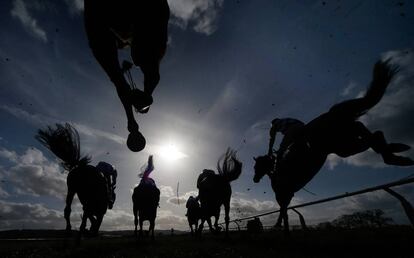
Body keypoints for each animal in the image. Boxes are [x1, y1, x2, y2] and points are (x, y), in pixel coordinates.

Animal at [254, 60, 412, 236]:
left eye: (257, 166)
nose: (254, 179)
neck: (277, 171)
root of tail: (330, 114)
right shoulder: (287, 194)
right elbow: (284, 212)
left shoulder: (283, 193)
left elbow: (283, 212)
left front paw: (279, 226)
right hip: (345, 139)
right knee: (370, 132)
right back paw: (396, 152)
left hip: (340, 145)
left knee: (372, 137)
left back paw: (393, 156)